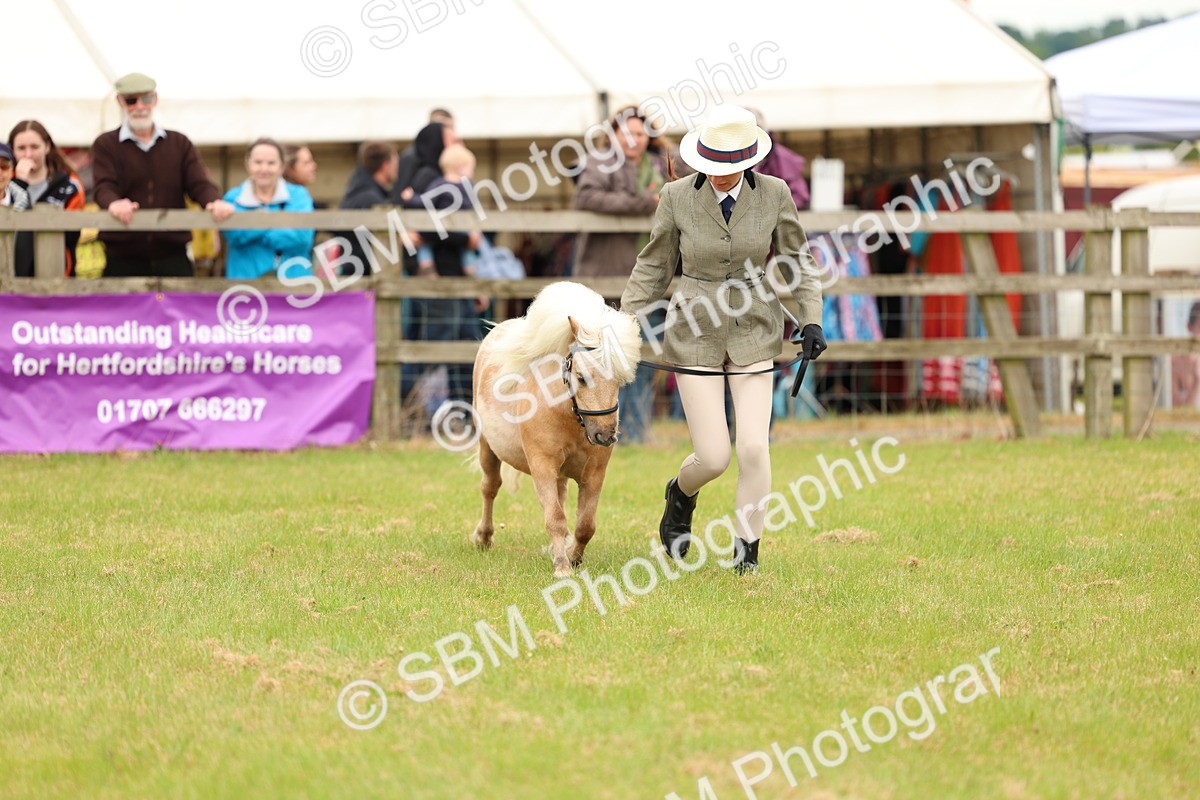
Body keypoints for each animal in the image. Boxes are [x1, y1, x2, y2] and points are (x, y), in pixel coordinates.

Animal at [471, 281, 643, 577]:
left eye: (619, 380)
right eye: (581, 377)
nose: (605, 435)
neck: (567, 416)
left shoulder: (594, 473)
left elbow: (585, 524)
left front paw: (572, 556)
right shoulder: (543, 466)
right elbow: (554, 517)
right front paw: (562, 567)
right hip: (487, 447)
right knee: (489, 487)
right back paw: (484, 537)